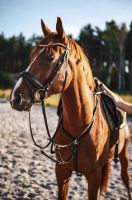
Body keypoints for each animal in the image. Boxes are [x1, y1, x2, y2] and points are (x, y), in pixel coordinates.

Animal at [10, 18, 131, 199]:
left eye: (50, 57)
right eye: (32, 55)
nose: (16, 97)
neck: (79, 127)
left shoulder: (94, 177)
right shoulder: (62, 172)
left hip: (124, 156)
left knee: (125, 180)